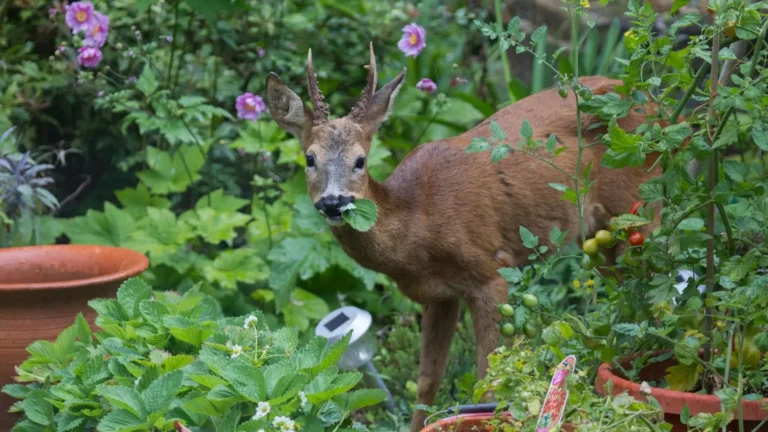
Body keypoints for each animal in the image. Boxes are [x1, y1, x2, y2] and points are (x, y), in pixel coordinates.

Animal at [264, 44, 663, 432]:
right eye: (310, 159)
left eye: (360, 161)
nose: (334, 202)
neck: (419, 223)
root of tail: (656, 102)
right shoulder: (437, 295)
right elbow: (426, 382)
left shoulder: (490, 274)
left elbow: (488, 378)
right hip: (600, 236)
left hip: (640, 205)